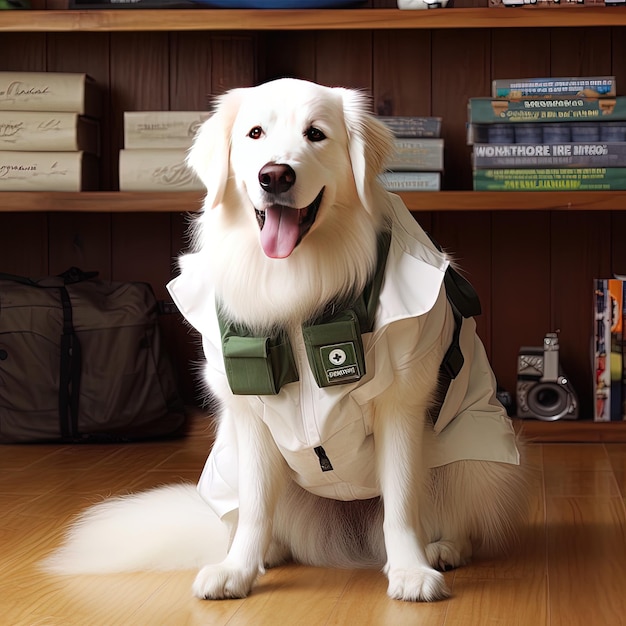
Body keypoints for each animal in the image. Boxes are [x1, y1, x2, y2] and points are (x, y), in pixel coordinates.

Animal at [44, 78, 524, 600]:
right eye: (255, 133)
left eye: (316, 134)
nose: (275, 176)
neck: (296, 278)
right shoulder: (252, 418)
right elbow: (256, 507)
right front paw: (237, 570)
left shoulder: (401, 402)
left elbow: (401, 504)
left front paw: (410, 571)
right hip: (231, 465)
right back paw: (265, 552)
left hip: (469, 453)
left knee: (457, 511)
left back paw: (443, 548)